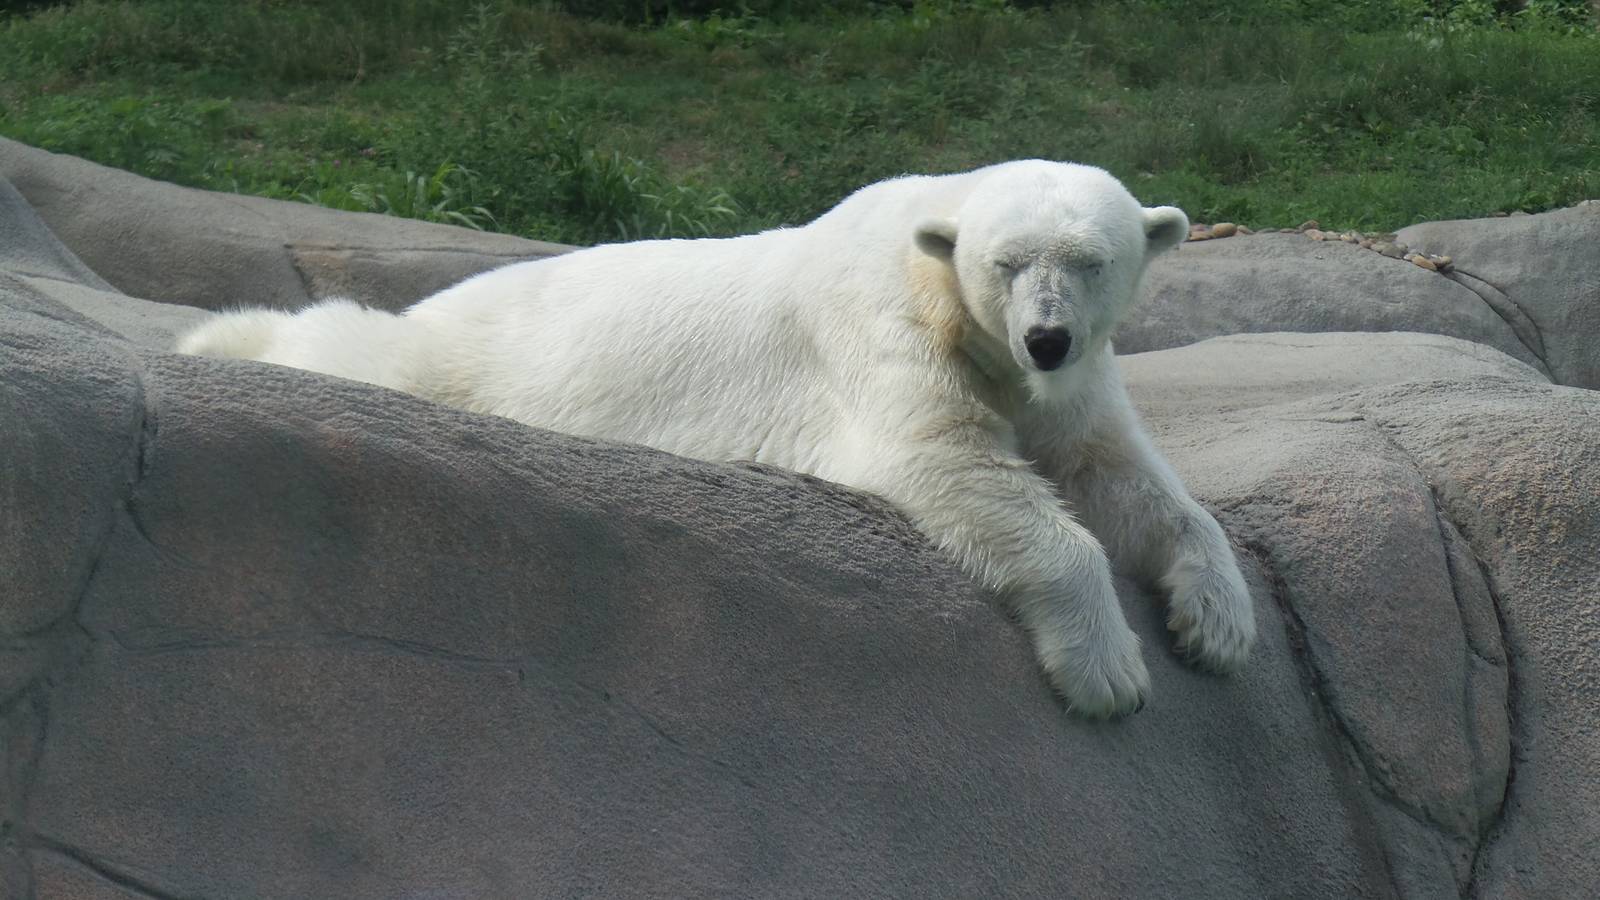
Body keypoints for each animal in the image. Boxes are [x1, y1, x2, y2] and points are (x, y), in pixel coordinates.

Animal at [178, 159, 1256, 718]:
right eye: (1007, 262)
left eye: (1092, 259)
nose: (1047, 335)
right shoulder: (881, 328)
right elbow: (942, 457)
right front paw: (1109, 670)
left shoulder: (1068, 387)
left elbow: (1119, 477)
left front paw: (1218, 623)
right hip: (472, 353)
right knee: (366, 348)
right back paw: (225, 338)